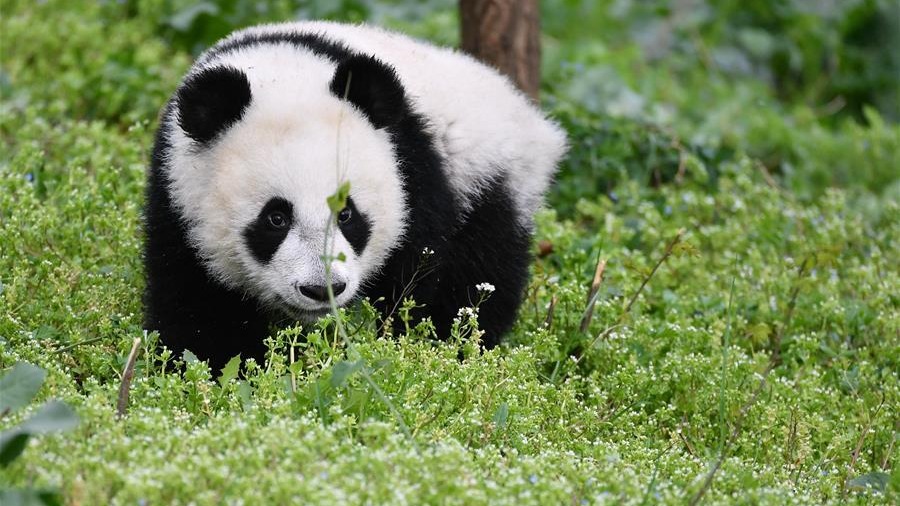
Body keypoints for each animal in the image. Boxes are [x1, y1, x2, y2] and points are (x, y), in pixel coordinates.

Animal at [146, 21, 568, 368]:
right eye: (275, 218)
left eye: (347, 214)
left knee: (480, 273)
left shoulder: (413, 170)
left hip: (488, 178)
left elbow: (416, 280)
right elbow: (196, 302)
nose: (323, 289)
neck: (279, 73)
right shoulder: (177, 192)